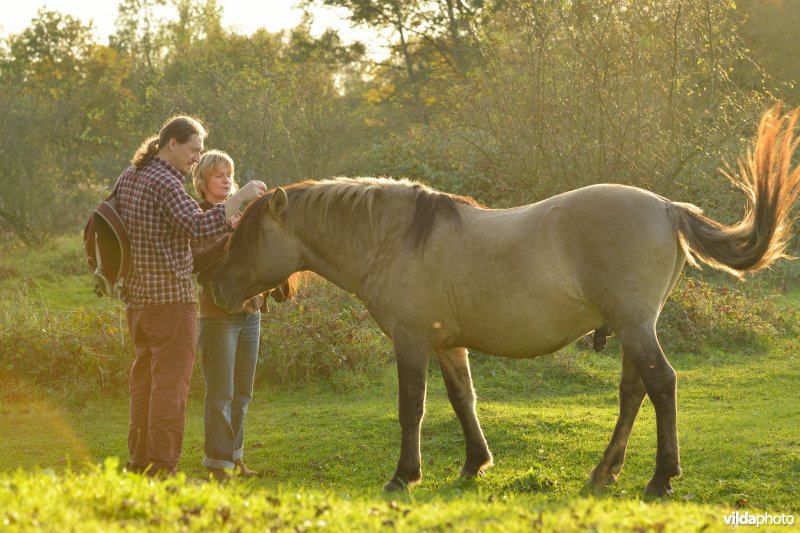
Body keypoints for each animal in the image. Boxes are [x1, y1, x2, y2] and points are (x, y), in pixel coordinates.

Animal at [211, 107, 800, 494]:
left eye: (248, 238)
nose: (215, 288)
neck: (393, 239)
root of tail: (665, 206)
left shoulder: (411, 342)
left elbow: (411, 408)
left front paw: (403, 476)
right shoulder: (447, 344)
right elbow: (462, 400)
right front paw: (475, 463)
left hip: (636, 325)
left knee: (661, 385)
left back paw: (660, 478)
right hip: (634, 326)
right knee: (635, 392)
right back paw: (604, 471)